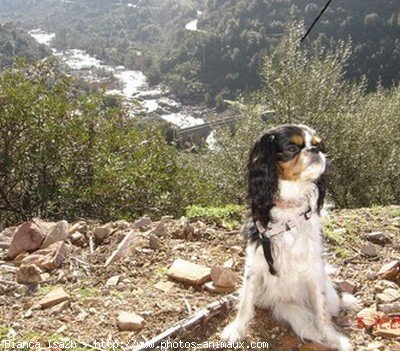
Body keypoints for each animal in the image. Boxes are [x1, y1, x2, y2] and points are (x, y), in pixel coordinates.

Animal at [222, 124, 354, 351]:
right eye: (292, 148)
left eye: (318, 145)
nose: (315, 151)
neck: (289, 206)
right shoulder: (255, 264)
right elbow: (245, 303)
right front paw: (236, 330)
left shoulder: (313, 269)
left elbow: (321, 311)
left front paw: (332, 338)